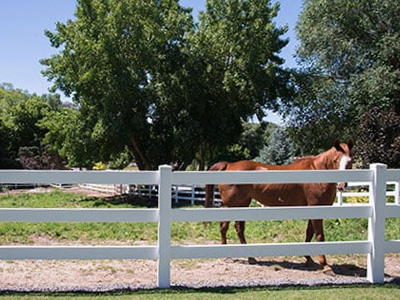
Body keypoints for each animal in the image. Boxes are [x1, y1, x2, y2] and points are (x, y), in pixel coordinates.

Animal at [206, 139, 354, 274]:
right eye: (335, 160)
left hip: (242, 205)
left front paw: (308, 259)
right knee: (224, 227)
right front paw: (326, 266)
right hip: (230, 205)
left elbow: (309, 233)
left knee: (239, 228)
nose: (342, 185)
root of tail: (229, 165)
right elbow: (319, 236)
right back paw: (227, 255)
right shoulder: (316, 209)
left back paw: (250, 257)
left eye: (350, 161)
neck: (316, 171)